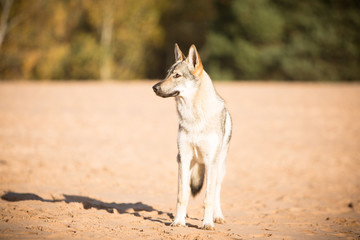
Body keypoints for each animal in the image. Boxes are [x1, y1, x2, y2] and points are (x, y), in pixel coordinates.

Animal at [153, 44, 232, 230]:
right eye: (167, 74)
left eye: (177, 75)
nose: (154, 87)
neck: (195, 117)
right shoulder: (184, 158)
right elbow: (182, 196)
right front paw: (178, 221)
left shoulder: (210, 162)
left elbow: (208, 198)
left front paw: (207, 223)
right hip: (188, 166)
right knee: (187, 191)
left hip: (219, 169)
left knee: (216, 193)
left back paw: (218, 217)